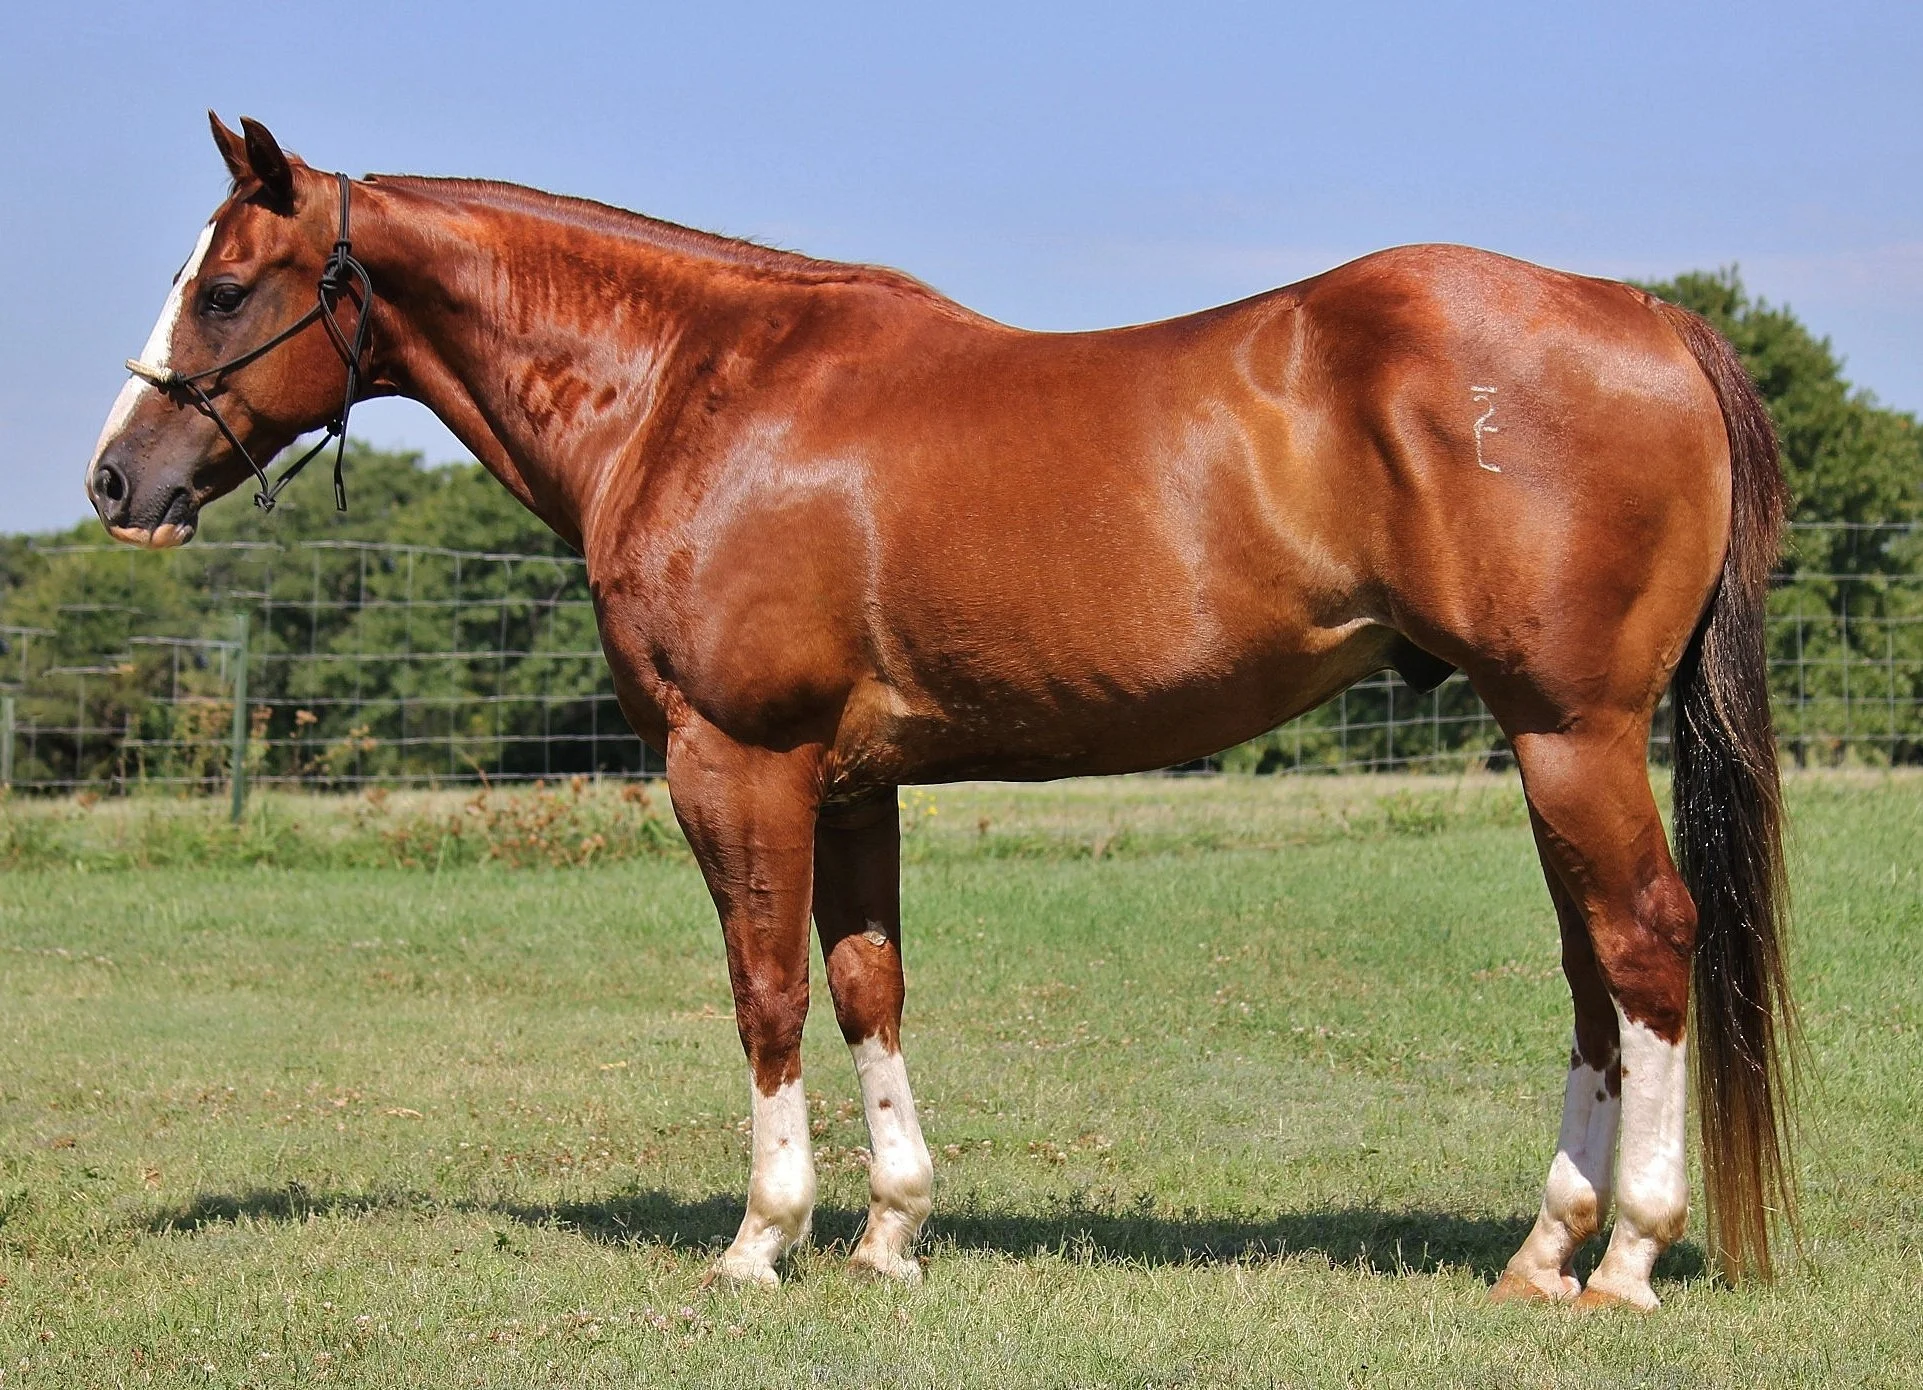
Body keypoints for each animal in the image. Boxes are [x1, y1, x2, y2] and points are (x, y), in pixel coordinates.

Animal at [86, 114, 1794, 1308]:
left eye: (225, 288)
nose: (115, 480)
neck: (687, 389)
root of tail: (1646, 318)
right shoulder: (850, 781)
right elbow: (865, 984)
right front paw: (889, 1232)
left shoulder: (737, 761)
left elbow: (765, 990)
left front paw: (759, 1238)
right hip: (1544, 742)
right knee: (1590, 974)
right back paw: (1541, 1250)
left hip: (1568, 732)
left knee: (1644, 945)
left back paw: (1626, 1257)